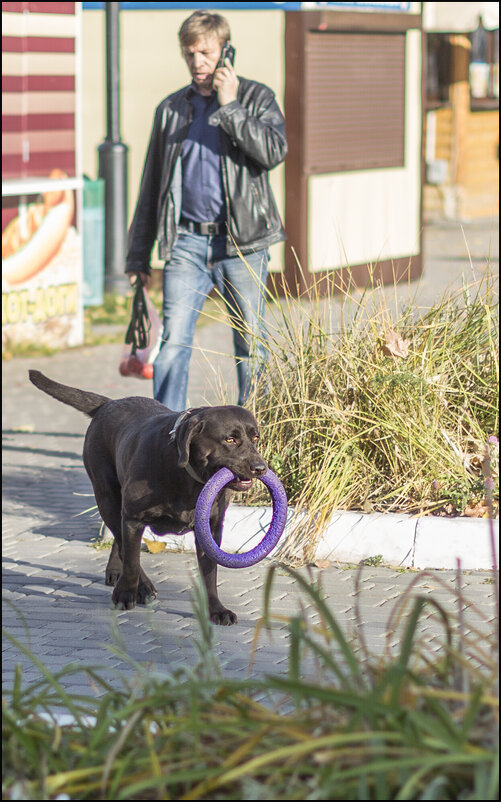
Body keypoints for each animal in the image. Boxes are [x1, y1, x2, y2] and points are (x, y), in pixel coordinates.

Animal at [28, 370, 268, 624]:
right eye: (230, 440)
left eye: (255, 438)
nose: (260, 468)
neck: (186, 477)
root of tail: (108, 403)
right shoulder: (133, 518)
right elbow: (132, 560)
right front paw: (127, 593)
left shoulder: (210, 530)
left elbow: (209, 573)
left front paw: (216, 610)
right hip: (107, 497)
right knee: (122, 543)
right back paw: (137, 585)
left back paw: (117, 572)